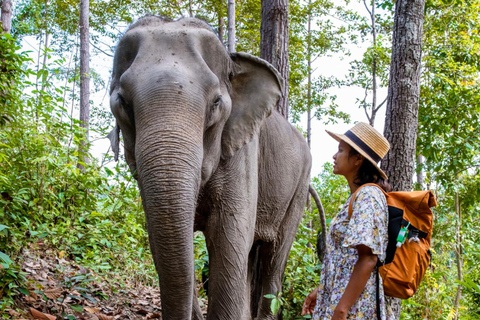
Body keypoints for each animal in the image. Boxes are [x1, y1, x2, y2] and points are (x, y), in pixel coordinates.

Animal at [108, 15, 312, 320]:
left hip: (299, 189)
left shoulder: (242, 153)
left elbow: (228, 239)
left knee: (274, 257)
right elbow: (162, 239)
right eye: (122, 101)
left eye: (216, 102)